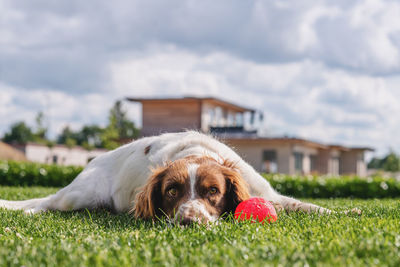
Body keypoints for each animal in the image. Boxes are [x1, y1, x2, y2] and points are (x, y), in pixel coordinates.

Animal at [0, 132, 332, 224]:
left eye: (213, 191)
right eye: (172, 191)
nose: (188, 220)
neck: (197, 153)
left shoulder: (269, 195)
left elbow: (307, 206)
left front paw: (340, 212)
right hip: (80, 195)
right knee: (50, 202)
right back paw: (30, 211)